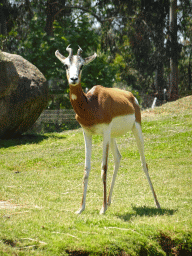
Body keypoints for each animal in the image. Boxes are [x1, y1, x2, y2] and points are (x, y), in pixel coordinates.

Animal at [54, 44, 160, 214]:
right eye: (65, 65)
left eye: (82, 65)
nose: (74, 79)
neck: (91, 104)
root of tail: (131, 96)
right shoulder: (87, 133)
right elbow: (86, 168)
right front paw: (81, 208)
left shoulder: (104, 132)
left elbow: (104, 167)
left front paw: (102, 209)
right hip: (113, 135)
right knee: (118, 158)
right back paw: (109, 201)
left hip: (135, 129)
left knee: (144, 163)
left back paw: (157, 203)